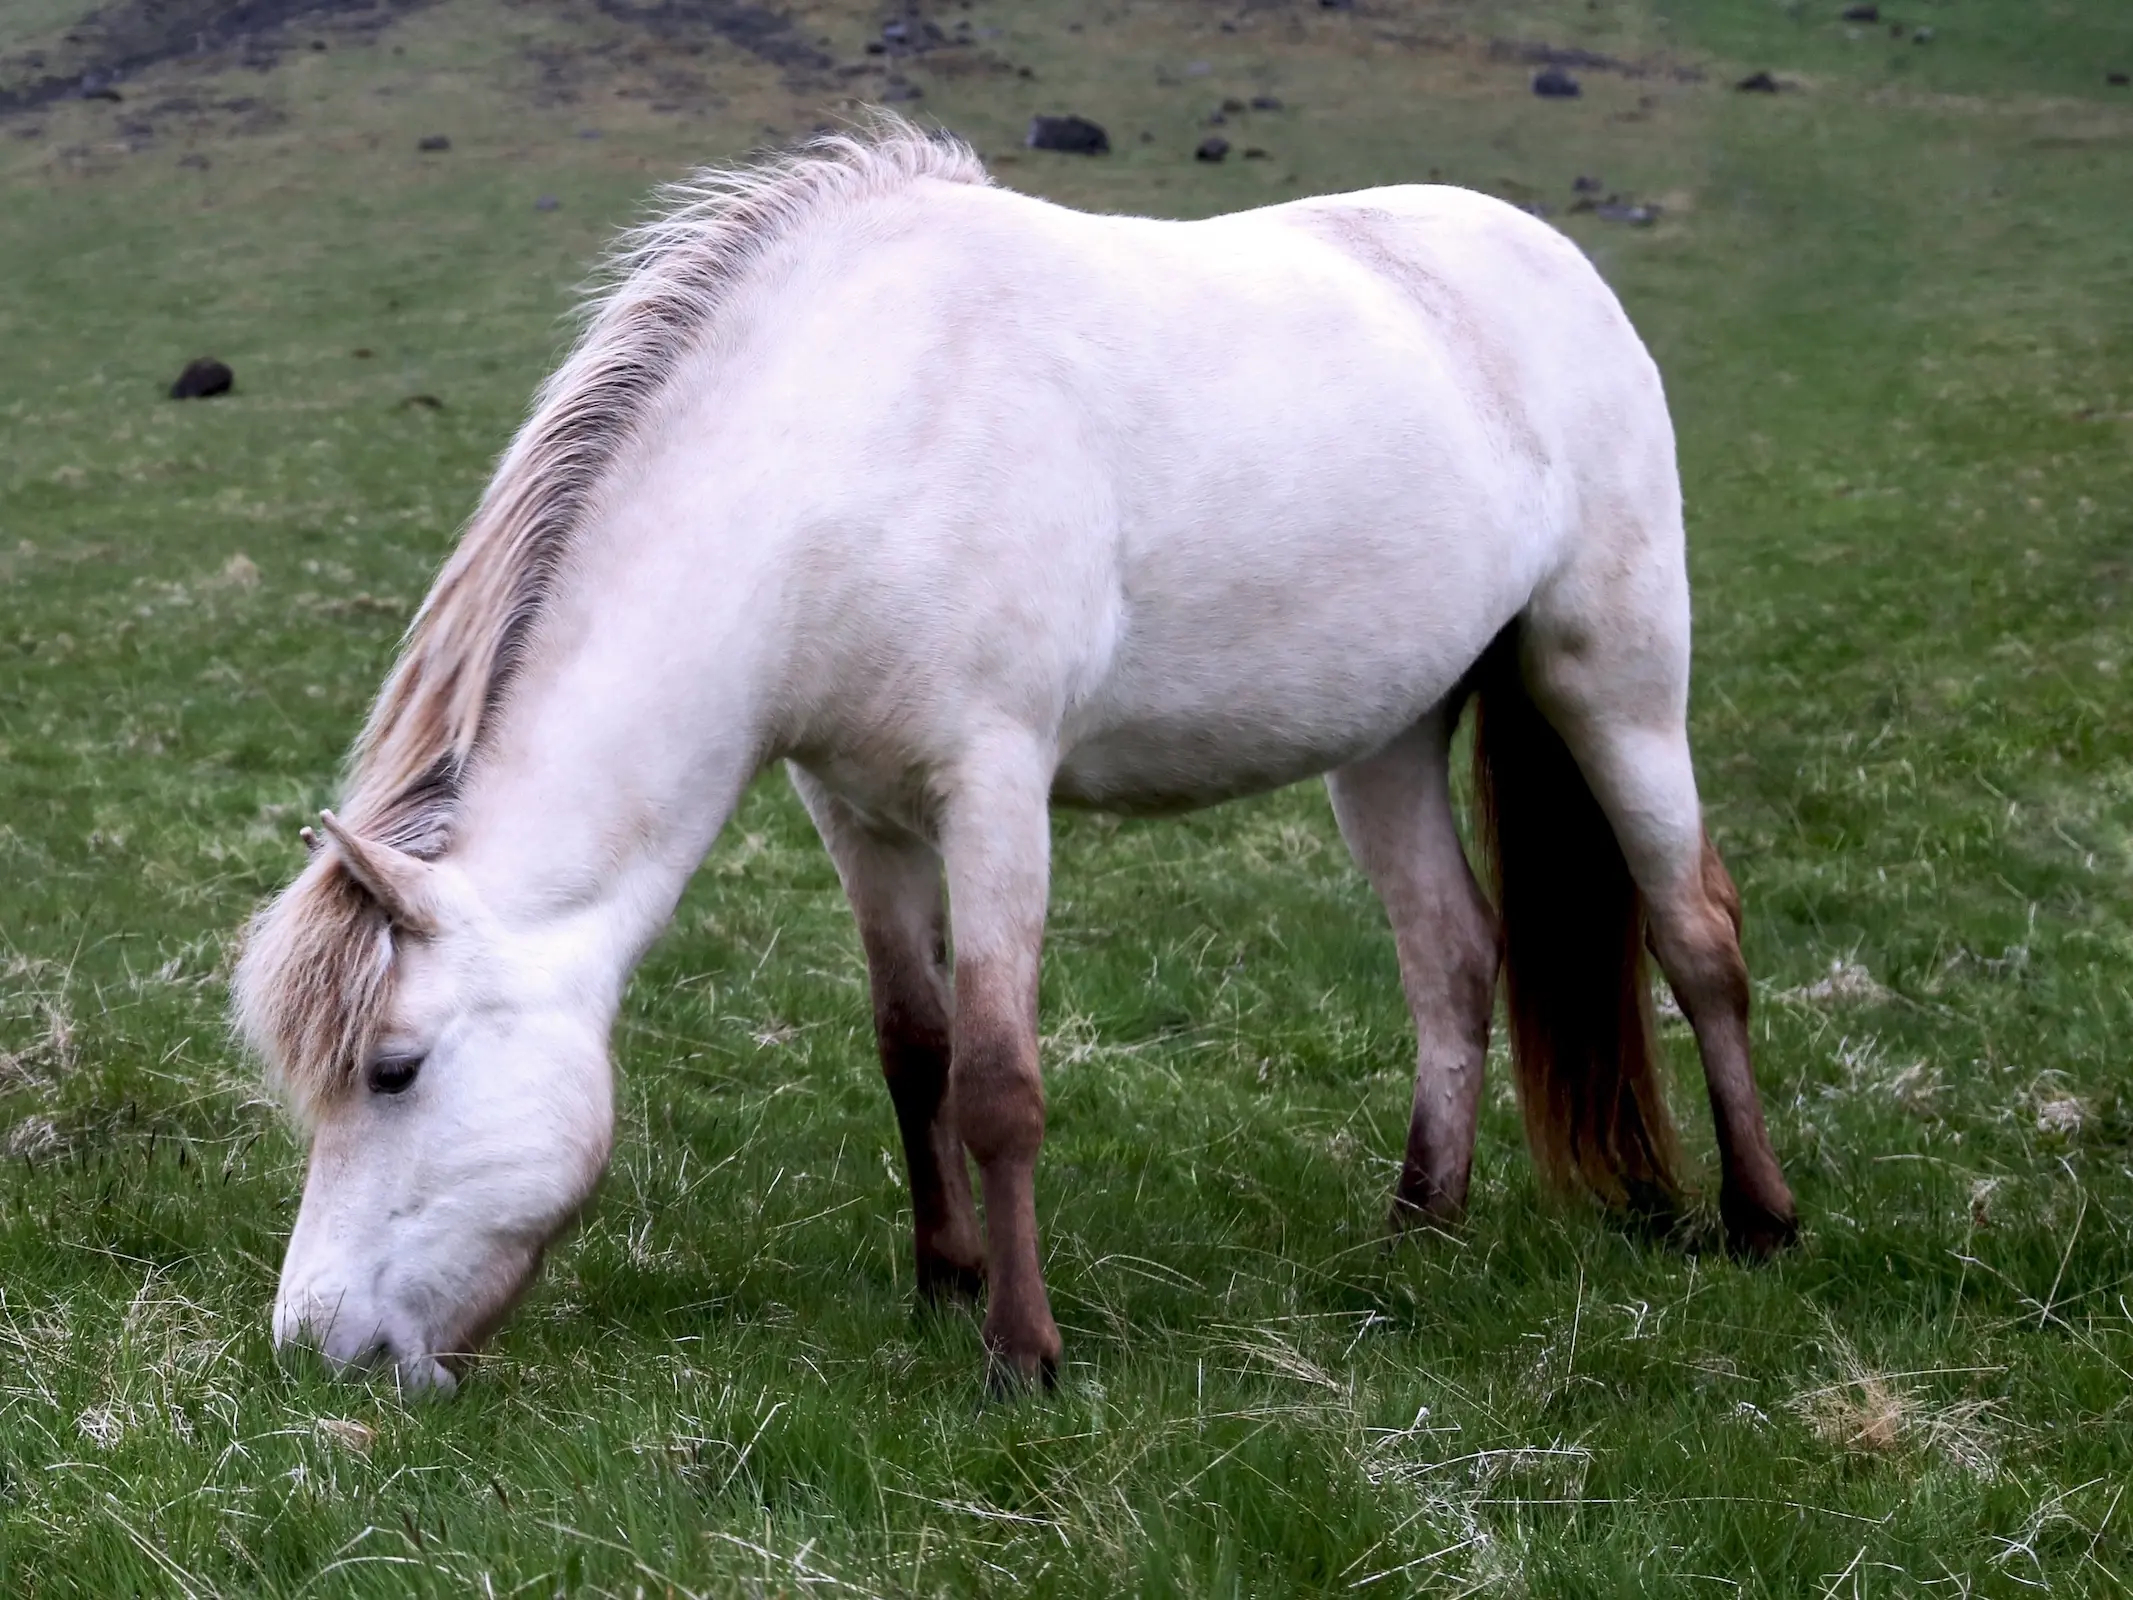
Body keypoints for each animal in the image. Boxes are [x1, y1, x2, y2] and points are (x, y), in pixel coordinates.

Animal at [233, 115, 1800, 1390]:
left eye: (393, 1071)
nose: (313, 1346)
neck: (845, 450)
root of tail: (1546, 257)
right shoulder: (854, 809)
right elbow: (911, 1047)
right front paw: (944, 1282)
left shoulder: (993, 789)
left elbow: (997, 1081)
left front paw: (1021, 1352)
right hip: (1390, 737)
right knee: (1452, 957)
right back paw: (1421, 1229)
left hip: (1614, 680)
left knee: (1695, 934)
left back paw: (1761, 1220)